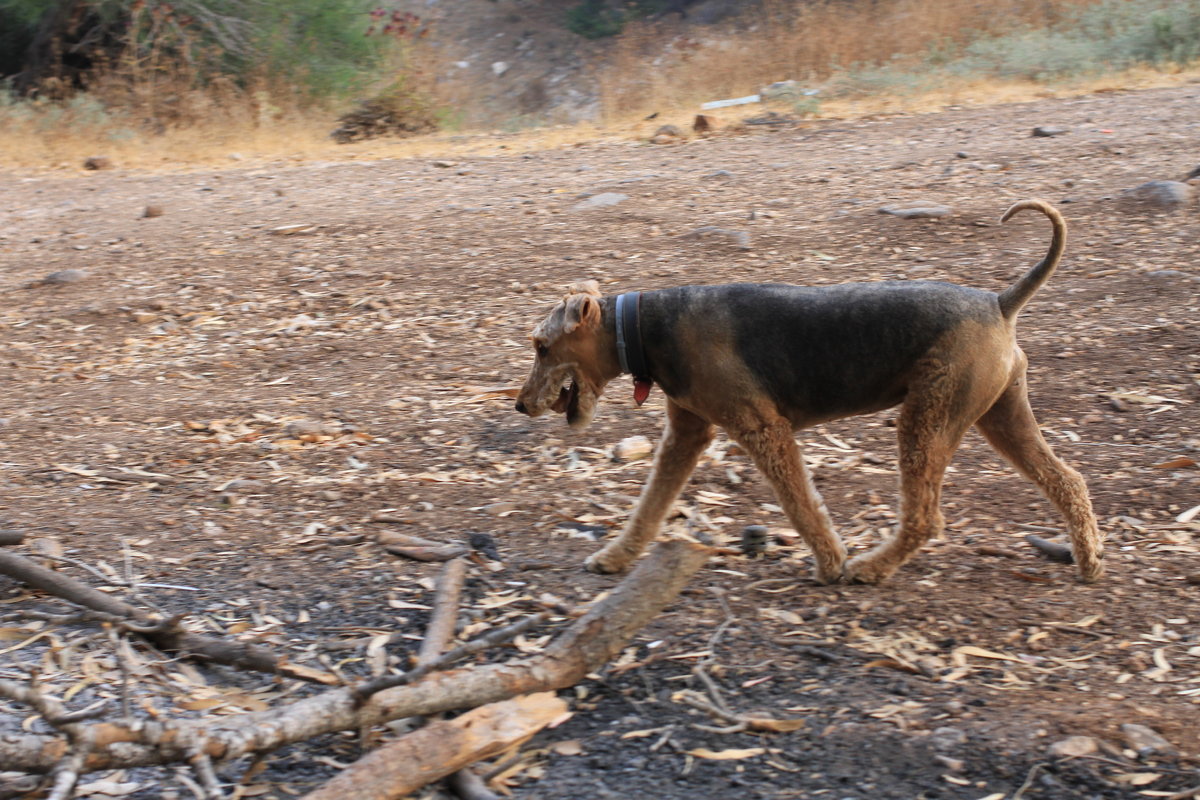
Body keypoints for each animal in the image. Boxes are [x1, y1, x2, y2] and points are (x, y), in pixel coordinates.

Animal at [511, 199, 1099, 587]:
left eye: (541, 346)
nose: (520, 403)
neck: (644, 327)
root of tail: (1000, 302)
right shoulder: (686, 434)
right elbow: (650, 504)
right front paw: (615, 558)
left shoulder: (762, 429)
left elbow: (801, 505)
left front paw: (831, 562)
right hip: (997, 414)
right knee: (1069, 480)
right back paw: (1090, 560)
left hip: (928, 419)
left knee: (926, 516)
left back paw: (867, 568)